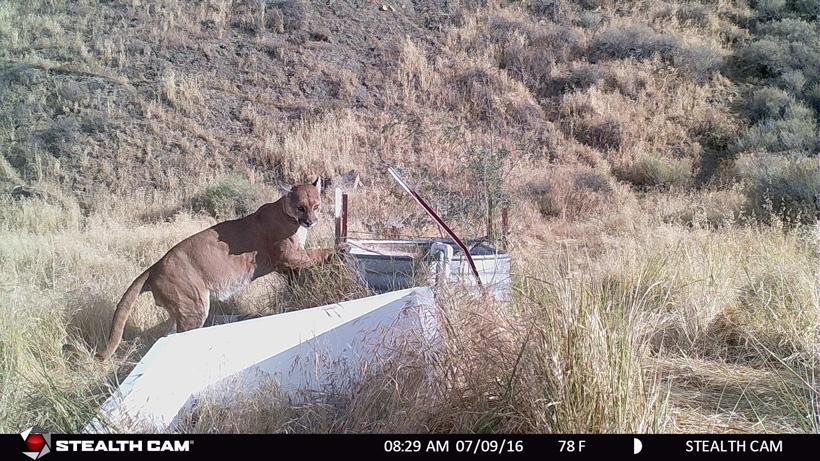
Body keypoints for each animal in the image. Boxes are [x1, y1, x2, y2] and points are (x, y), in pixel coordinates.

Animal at [96, 178, 343, 360]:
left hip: (181, 309)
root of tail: (154, 266)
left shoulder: (286, 263)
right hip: (193, 306)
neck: (288, 215)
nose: (311, 221)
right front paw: (340, 247)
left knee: (167, 334)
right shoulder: (287, 256)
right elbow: (316, 253)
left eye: (316, 206)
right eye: (301, 207)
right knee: (182, 334)